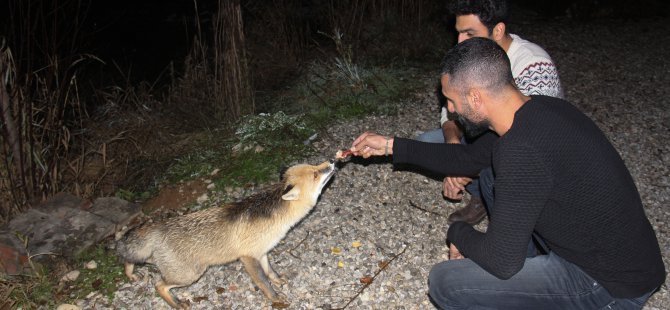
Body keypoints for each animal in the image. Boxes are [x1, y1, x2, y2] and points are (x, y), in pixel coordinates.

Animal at [117, 160, 336, 308]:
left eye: (315, 165)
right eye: (315, 174)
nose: (332, 162)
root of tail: (159, 226)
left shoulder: (262, 253)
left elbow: (270, 272)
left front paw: (278, 281)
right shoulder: (248, 258)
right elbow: (263, 282)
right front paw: (274, 298)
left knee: (133, 259)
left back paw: (130, 273)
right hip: (190, 274)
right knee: (159, 284)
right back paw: (176, 303)